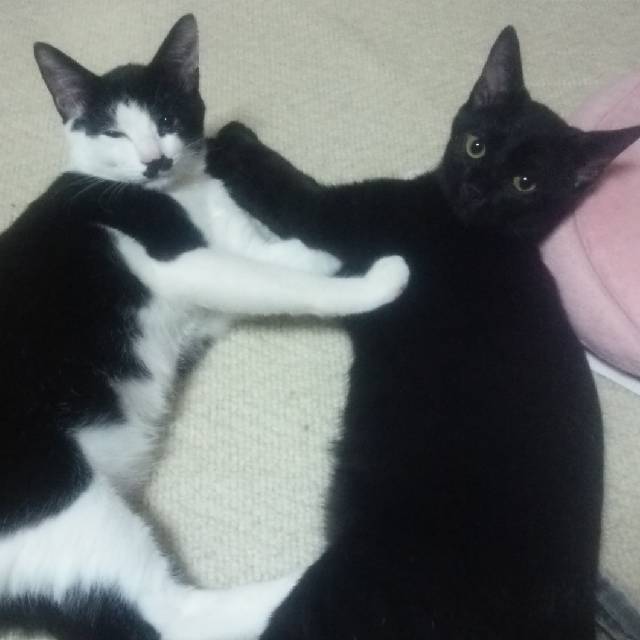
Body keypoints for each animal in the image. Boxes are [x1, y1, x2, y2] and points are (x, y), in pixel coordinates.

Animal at [0, 14, 410, 640]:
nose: (154, 160)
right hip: (54, 493)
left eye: (167, 121)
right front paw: (377, 281)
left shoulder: (215, 287)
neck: (180, 193)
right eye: (114, 133)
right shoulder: (182, 262)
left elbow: (277, 261)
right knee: (175, 618)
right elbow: (282, 283)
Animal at [208, 27, 640, 640]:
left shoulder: (337, 216)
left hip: (349, 587)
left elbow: (284, 182)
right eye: (477, 146)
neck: (478, 230)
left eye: (524, 182)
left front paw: (231, 140)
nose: (478, 186)